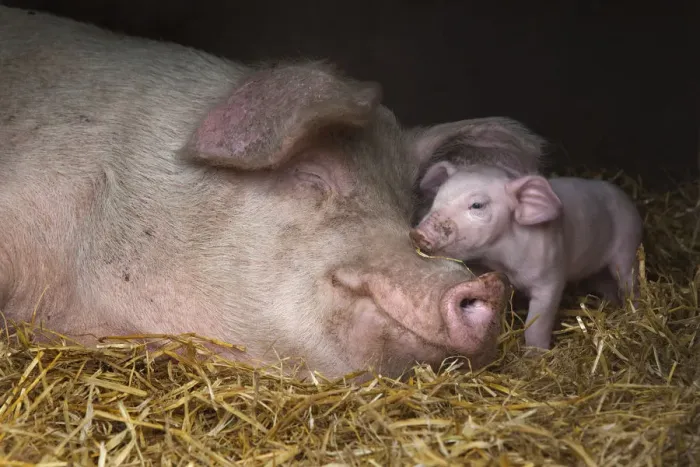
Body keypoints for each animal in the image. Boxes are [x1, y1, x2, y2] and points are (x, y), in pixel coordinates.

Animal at [409, 162, 643, 350]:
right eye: (437, 198)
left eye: (477, 205)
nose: (418, 234)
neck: (499, 258)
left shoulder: (550, 277)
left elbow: (537, 323)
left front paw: (535, 354)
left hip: (627, 244)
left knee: (629, 280)